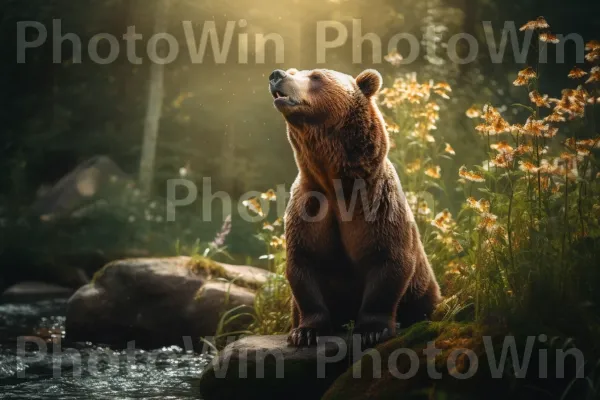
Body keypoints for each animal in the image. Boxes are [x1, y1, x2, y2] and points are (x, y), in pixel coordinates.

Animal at [268, 68, 440, 346]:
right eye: (294, 71)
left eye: (316, 76)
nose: (277, 74)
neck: (335, 183)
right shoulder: (310, 209)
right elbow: (304, 265)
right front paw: (306, 332)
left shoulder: (377, 207)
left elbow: (388, 262)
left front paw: (372, 330)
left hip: (424, 290)